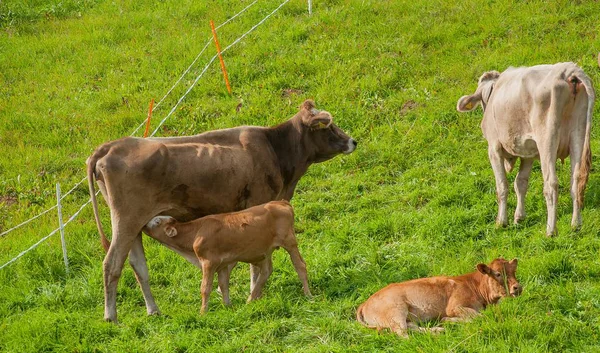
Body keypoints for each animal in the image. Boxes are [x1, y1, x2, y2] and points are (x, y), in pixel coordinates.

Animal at [144, 199, 312, 312]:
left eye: (157, 221)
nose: (144, 224)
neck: (196, 232)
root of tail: (281, 202)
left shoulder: (208, 262)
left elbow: (205, 287)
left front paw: (203, 312)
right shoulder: (223, 264)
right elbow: (224, 284)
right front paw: (227, 306)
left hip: (289, 242)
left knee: (300, 266)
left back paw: (308, 294)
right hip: (265, 250)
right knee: (266, 271)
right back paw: (250, 299)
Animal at [356, 258, 520, 336]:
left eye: (514, 271)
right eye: (498, 274)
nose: (517, 287)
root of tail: (364, 303)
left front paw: (446, 322)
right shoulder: (454, 307)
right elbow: (479, 317)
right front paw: (448, 320)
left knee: (411, 327)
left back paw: (437, 331)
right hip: (395, 311)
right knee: (402, 333)